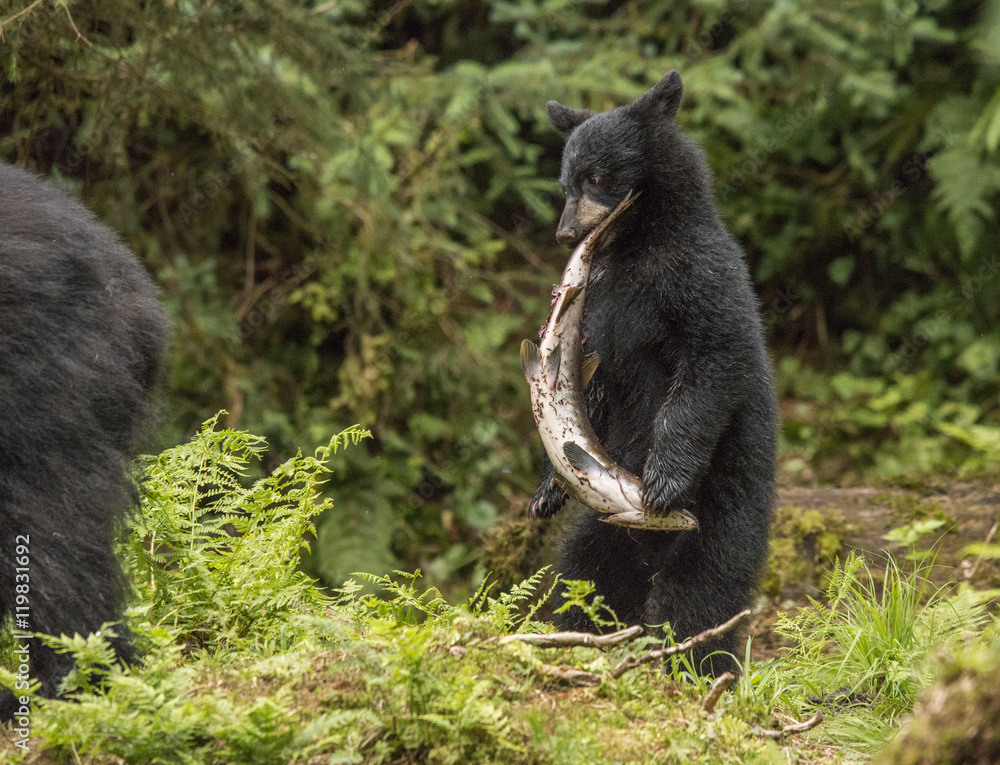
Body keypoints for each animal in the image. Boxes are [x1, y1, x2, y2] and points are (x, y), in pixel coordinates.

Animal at [530, 70, 777, 676]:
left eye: (596, 176)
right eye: (564, 183)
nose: (566, 235)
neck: (635, 245)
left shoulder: (699, 275)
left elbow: (712, 361)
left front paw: (664, 479)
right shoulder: (599, 303)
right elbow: (593, 385)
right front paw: (547, 489)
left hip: (724, 512)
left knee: (700, 594)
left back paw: (692, 665)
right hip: (606, 529)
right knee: (585, 575)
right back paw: (578, 638)